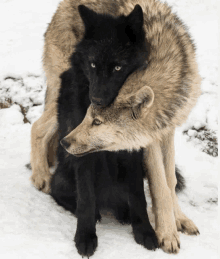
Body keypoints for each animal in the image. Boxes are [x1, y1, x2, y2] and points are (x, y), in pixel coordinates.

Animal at [31, 0, 201, 254]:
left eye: (119, 69)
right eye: (92, 117)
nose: (97, 99)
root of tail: (62, 6)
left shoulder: (166, 130)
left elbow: (169, 181)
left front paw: (179, 219)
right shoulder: (149, 139)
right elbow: (159, 185)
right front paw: (167, 234)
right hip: (64, 95)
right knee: (36, 127)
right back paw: (40, 176)